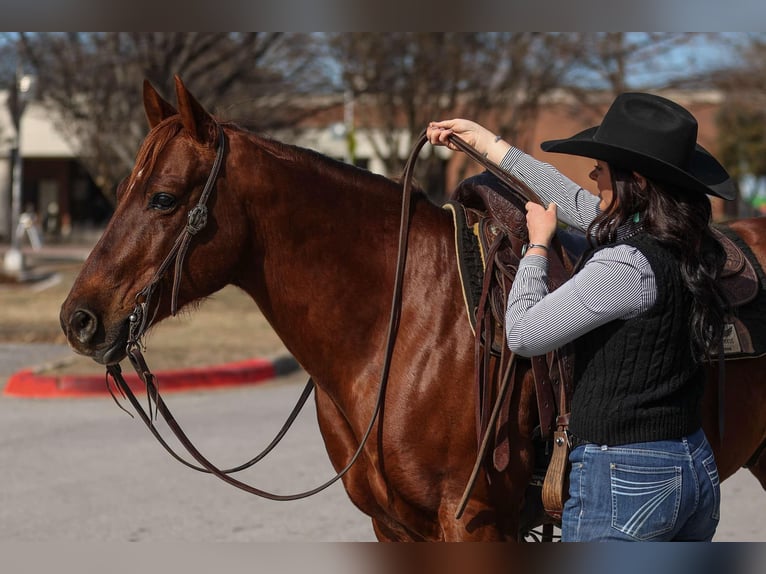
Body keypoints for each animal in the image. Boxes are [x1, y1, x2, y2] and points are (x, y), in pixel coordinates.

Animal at [58, 77, 766, 544]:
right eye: (119, 190)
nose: (79, 319)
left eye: (163, 198)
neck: (395, 333)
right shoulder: (392, 526)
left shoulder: (472, 521)